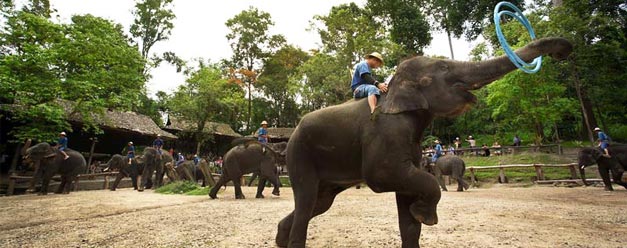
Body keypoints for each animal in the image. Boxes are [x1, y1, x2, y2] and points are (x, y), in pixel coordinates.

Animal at [278, 37, 576, 248]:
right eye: (444, 68)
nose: (562, 52)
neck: (397, 89)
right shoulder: (386, 134)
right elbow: (384, 177)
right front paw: (426, 215)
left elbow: (408, 207)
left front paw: (417, 213)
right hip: (299, 154)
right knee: (306, 201)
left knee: (320, 203)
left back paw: (279, 239)